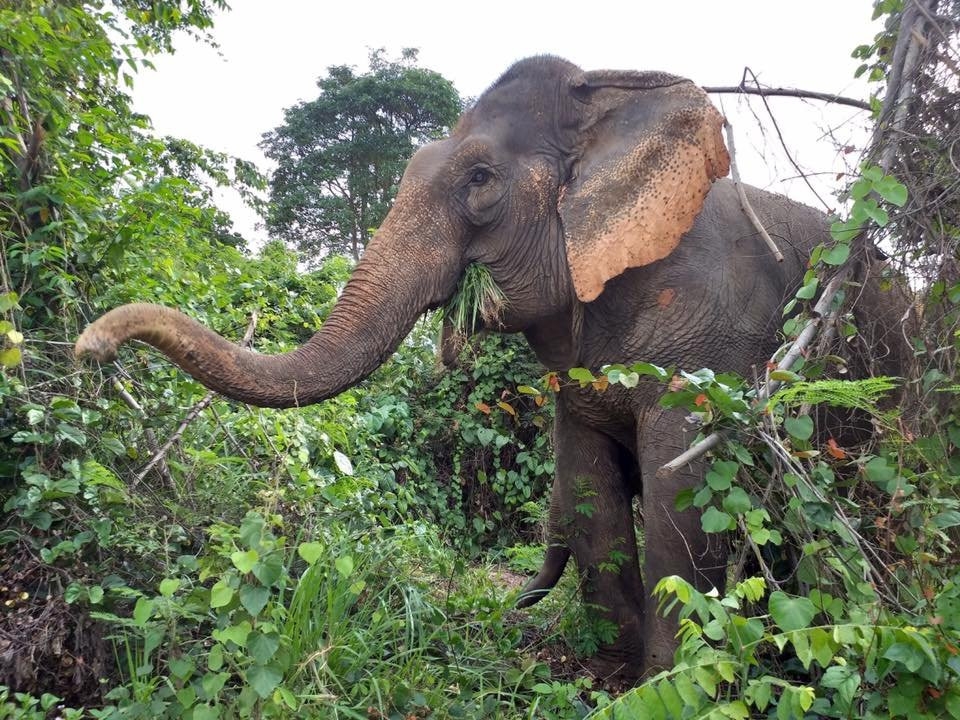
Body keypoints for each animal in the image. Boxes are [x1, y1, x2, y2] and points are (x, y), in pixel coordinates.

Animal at [77, 54, 908, 676]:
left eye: (479, 182)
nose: (92, 348)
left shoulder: (712, 347)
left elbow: (682, 504)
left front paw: (662, 684)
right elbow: (589, 492)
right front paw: (610, 677)